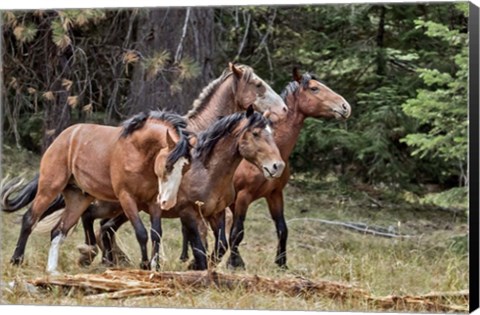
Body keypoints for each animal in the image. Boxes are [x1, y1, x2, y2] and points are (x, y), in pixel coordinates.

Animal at [6, 111, 191, 274]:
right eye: (168, 165)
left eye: (186, 168)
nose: (169, 202)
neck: (138, 152)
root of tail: (63, 137)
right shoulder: (127, 198)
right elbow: (141, 233)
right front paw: (144, 266)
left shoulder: (153, 201)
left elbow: (156, 234)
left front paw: (156, 267)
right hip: (49, 188)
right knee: (29, 218)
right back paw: (16, 260)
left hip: (78, 198)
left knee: (58, 230)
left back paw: (52, 270)